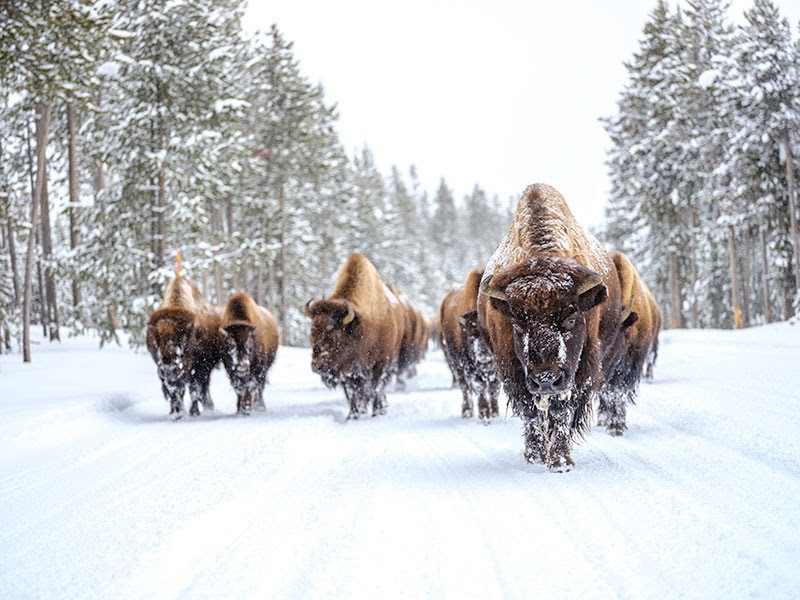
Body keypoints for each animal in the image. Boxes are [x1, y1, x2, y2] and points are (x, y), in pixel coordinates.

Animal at [145, 276, 222, 420]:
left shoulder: (197, 367)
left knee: (202, 387)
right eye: (156, 339)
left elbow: (193, 389)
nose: (169, 368)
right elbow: (175, 392)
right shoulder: (164, 373)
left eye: (183, 337)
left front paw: (193, 412)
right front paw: (177, 413)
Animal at [306, 252, 406, 418]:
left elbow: (373, 388)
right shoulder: (348, 371)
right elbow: (352, 393)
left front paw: (372, 412)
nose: (317, 366)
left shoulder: (378, 364)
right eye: (312, 332)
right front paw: (353, 415)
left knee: (380, 387)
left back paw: (380, 409)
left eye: (334, 333)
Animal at [438, 270, 500, 420]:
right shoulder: (469, 366)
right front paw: (484, 413)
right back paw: (467, 411)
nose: (483, 353)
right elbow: (480, 387)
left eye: (489, 334)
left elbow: (493, 388)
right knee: (464, 387)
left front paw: (494, 413)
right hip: (455, 364)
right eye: (471, 335)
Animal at [476, 182, 624, 468]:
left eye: (571, 319)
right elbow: (531, 411)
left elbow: (562, 410)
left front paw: (560, 460)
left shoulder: (580, 370)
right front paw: (535, 455)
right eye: (517, 323)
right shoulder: (514, 370)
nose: (546, 378)